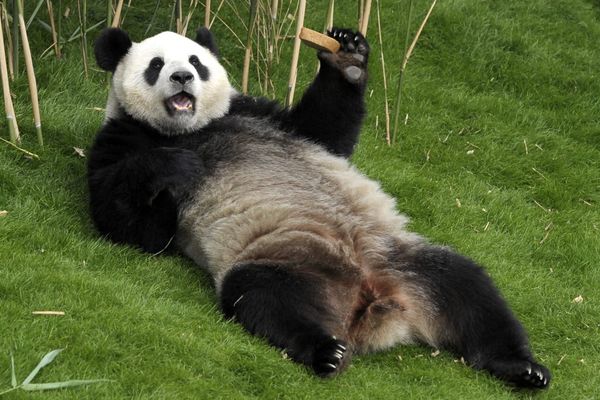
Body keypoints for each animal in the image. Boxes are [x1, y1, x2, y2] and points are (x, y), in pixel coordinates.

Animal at [86, 25, 552, 388]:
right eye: (156, 65)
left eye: (196, 62)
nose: (182, 77)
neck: (195, 127)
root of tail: (374, 299)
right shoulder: (124, 135)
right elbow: (131, 225)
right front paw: (175, 165)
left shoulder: (258, 110)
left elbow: (325, 131)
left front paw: (347, 55)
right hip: (288, 258)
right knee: (266, 298)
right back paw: (327, 352)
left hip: (403, 258)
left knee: (469, 290)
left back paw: (521, 366)